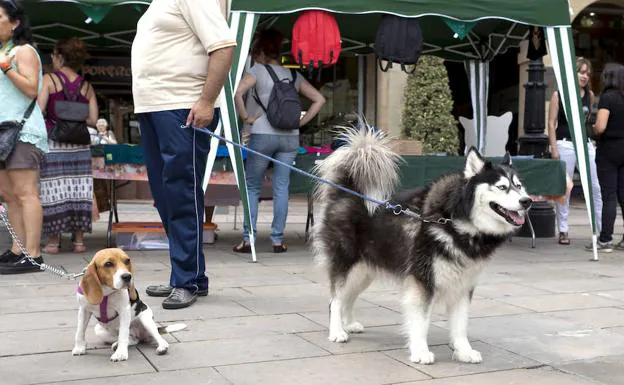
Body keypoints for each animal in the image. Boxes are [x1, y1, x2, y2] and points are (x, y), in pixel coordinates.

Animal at [312, 127, 532, 364]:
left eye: (519, 186)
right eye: (501, 187)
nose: (527, 201)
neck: (455, 221)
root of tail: (344, 191)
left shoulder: (463, 284)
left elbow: (460, 324)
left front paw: (463, 351)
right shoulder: (423, 280)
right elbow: (421, 321)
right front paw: (420, 351)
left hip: (364, 271)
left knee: (348, 297)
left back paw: (349, 324)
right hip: (346, 263)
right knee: (335, 300)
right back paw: (337, 331)